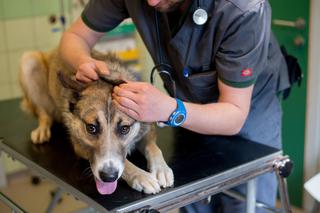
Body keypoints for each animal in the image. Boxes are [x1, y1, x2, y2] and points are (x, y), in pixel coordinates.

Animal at [18, 48, 174, 195]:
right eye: (91, 128)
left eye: (125, 129)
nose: (108, 177)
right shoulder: (79, 145)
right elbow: (127, 163)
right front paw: (141, 176)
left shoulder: (146, 130)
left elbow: (154, 148)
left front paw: (161, 169)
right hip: (29, 61)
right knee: (43, 112)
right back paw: (42, 129)